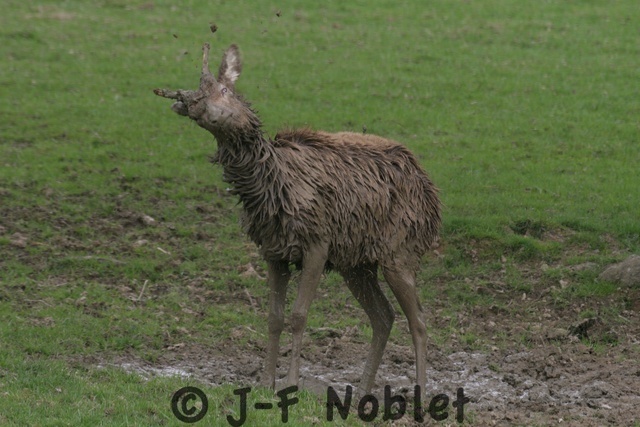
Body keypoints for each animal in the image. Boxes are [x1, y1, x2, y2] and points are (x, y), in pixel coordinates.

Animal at [154, 42, 441, 398]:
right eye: (195, 90)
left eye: (224, 89)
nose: (188, 103)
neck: (271, 191)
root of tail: (432, 199)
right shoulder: (273, 252)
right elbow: (274, 318)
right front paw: (264, 382)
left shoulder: (317, 244)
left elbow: (299, 316)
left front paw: (290, 384)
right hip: (356, 263)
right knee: (383, 316)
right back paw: (362, 391)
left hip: (399, 251)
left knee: (418, 320)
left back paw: (420, 395)